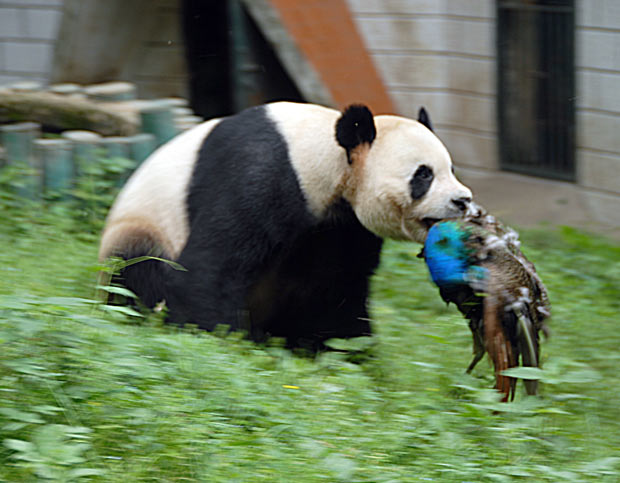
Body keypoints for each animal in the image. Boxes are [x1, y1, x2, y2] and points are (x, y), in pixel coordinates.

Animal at [99, 102, 472, 348]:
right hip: (141, 228)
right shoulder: (257, 173)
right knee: (139, 270)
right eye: (423, 175)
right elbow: (210, 268)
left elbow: (334, 289)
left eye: (451, 169)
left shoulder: (340, 226)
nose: (463, 200)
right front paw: (218, 343)